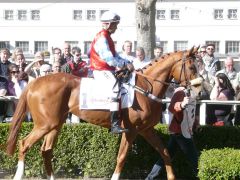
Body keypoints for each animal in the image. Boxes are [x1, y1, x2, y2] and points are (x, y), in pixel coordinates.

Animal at [5, 46, 200, 180]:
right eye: (192, 68)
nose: (199, 89)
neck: (144, 88)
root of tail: (35, 82)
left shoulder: (146, 130)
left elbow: (165, 152)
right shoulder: (131, 131)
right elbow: (121, 157)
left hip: (55, 125)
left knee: (46, 150)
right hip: (45, 124)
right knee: (24, 144)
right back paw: (18, 175)